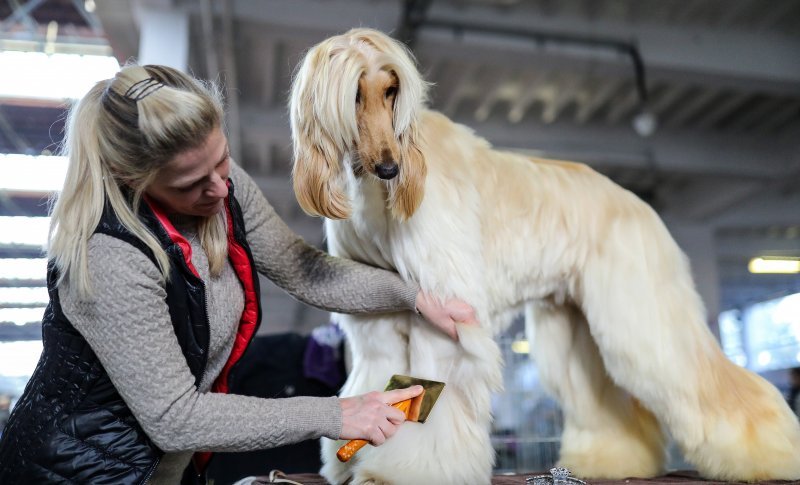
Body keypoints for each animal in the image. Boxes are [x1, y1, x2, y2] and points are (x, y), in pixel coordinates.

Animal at [290, 28, 800, 482]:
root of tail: (638, 204)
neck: (375, 197)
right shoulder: (376, 321)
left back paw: (769, 454)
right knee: (602, 402)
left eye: (391, 88)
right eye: (354, 94)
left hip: (638, 315)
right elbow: (373, 376)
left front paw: (405, 470)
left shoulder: (446, 312)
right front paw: (354, 455)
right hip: (573, 327)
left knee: (704, 378)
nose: (389, 168)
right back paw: (611, 461)